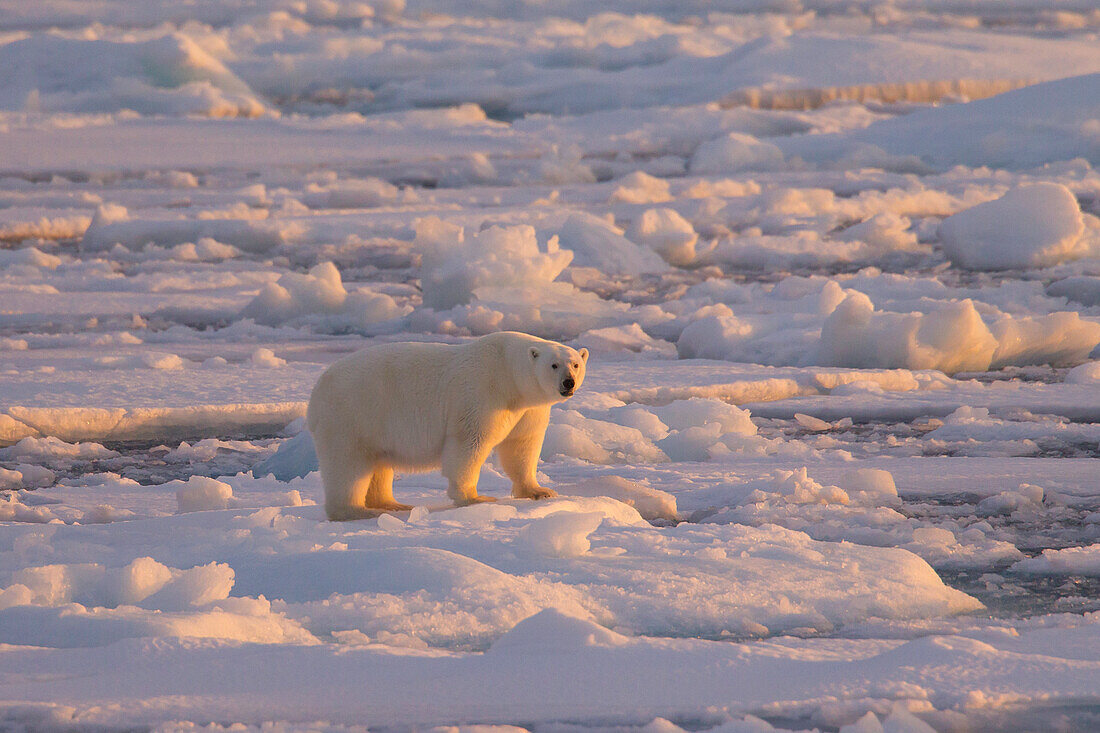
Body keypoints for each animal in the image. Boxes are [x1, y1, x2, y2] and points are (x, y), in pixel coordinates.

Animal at [305, 327, 589, 521]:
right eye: (554, 365)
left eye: (576, 363)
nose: (569, 382)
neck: (508, 372)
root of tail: (315, 394)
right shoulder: (481, 393)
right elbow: (470, 443)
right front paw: (475, 498)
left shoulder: (527, 409)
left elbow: (521, 445)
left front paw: (540, 491)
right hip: (351, 414)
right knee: (348, 465)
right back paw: (356, 510)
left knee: (378, 463)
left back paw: (393, 504)